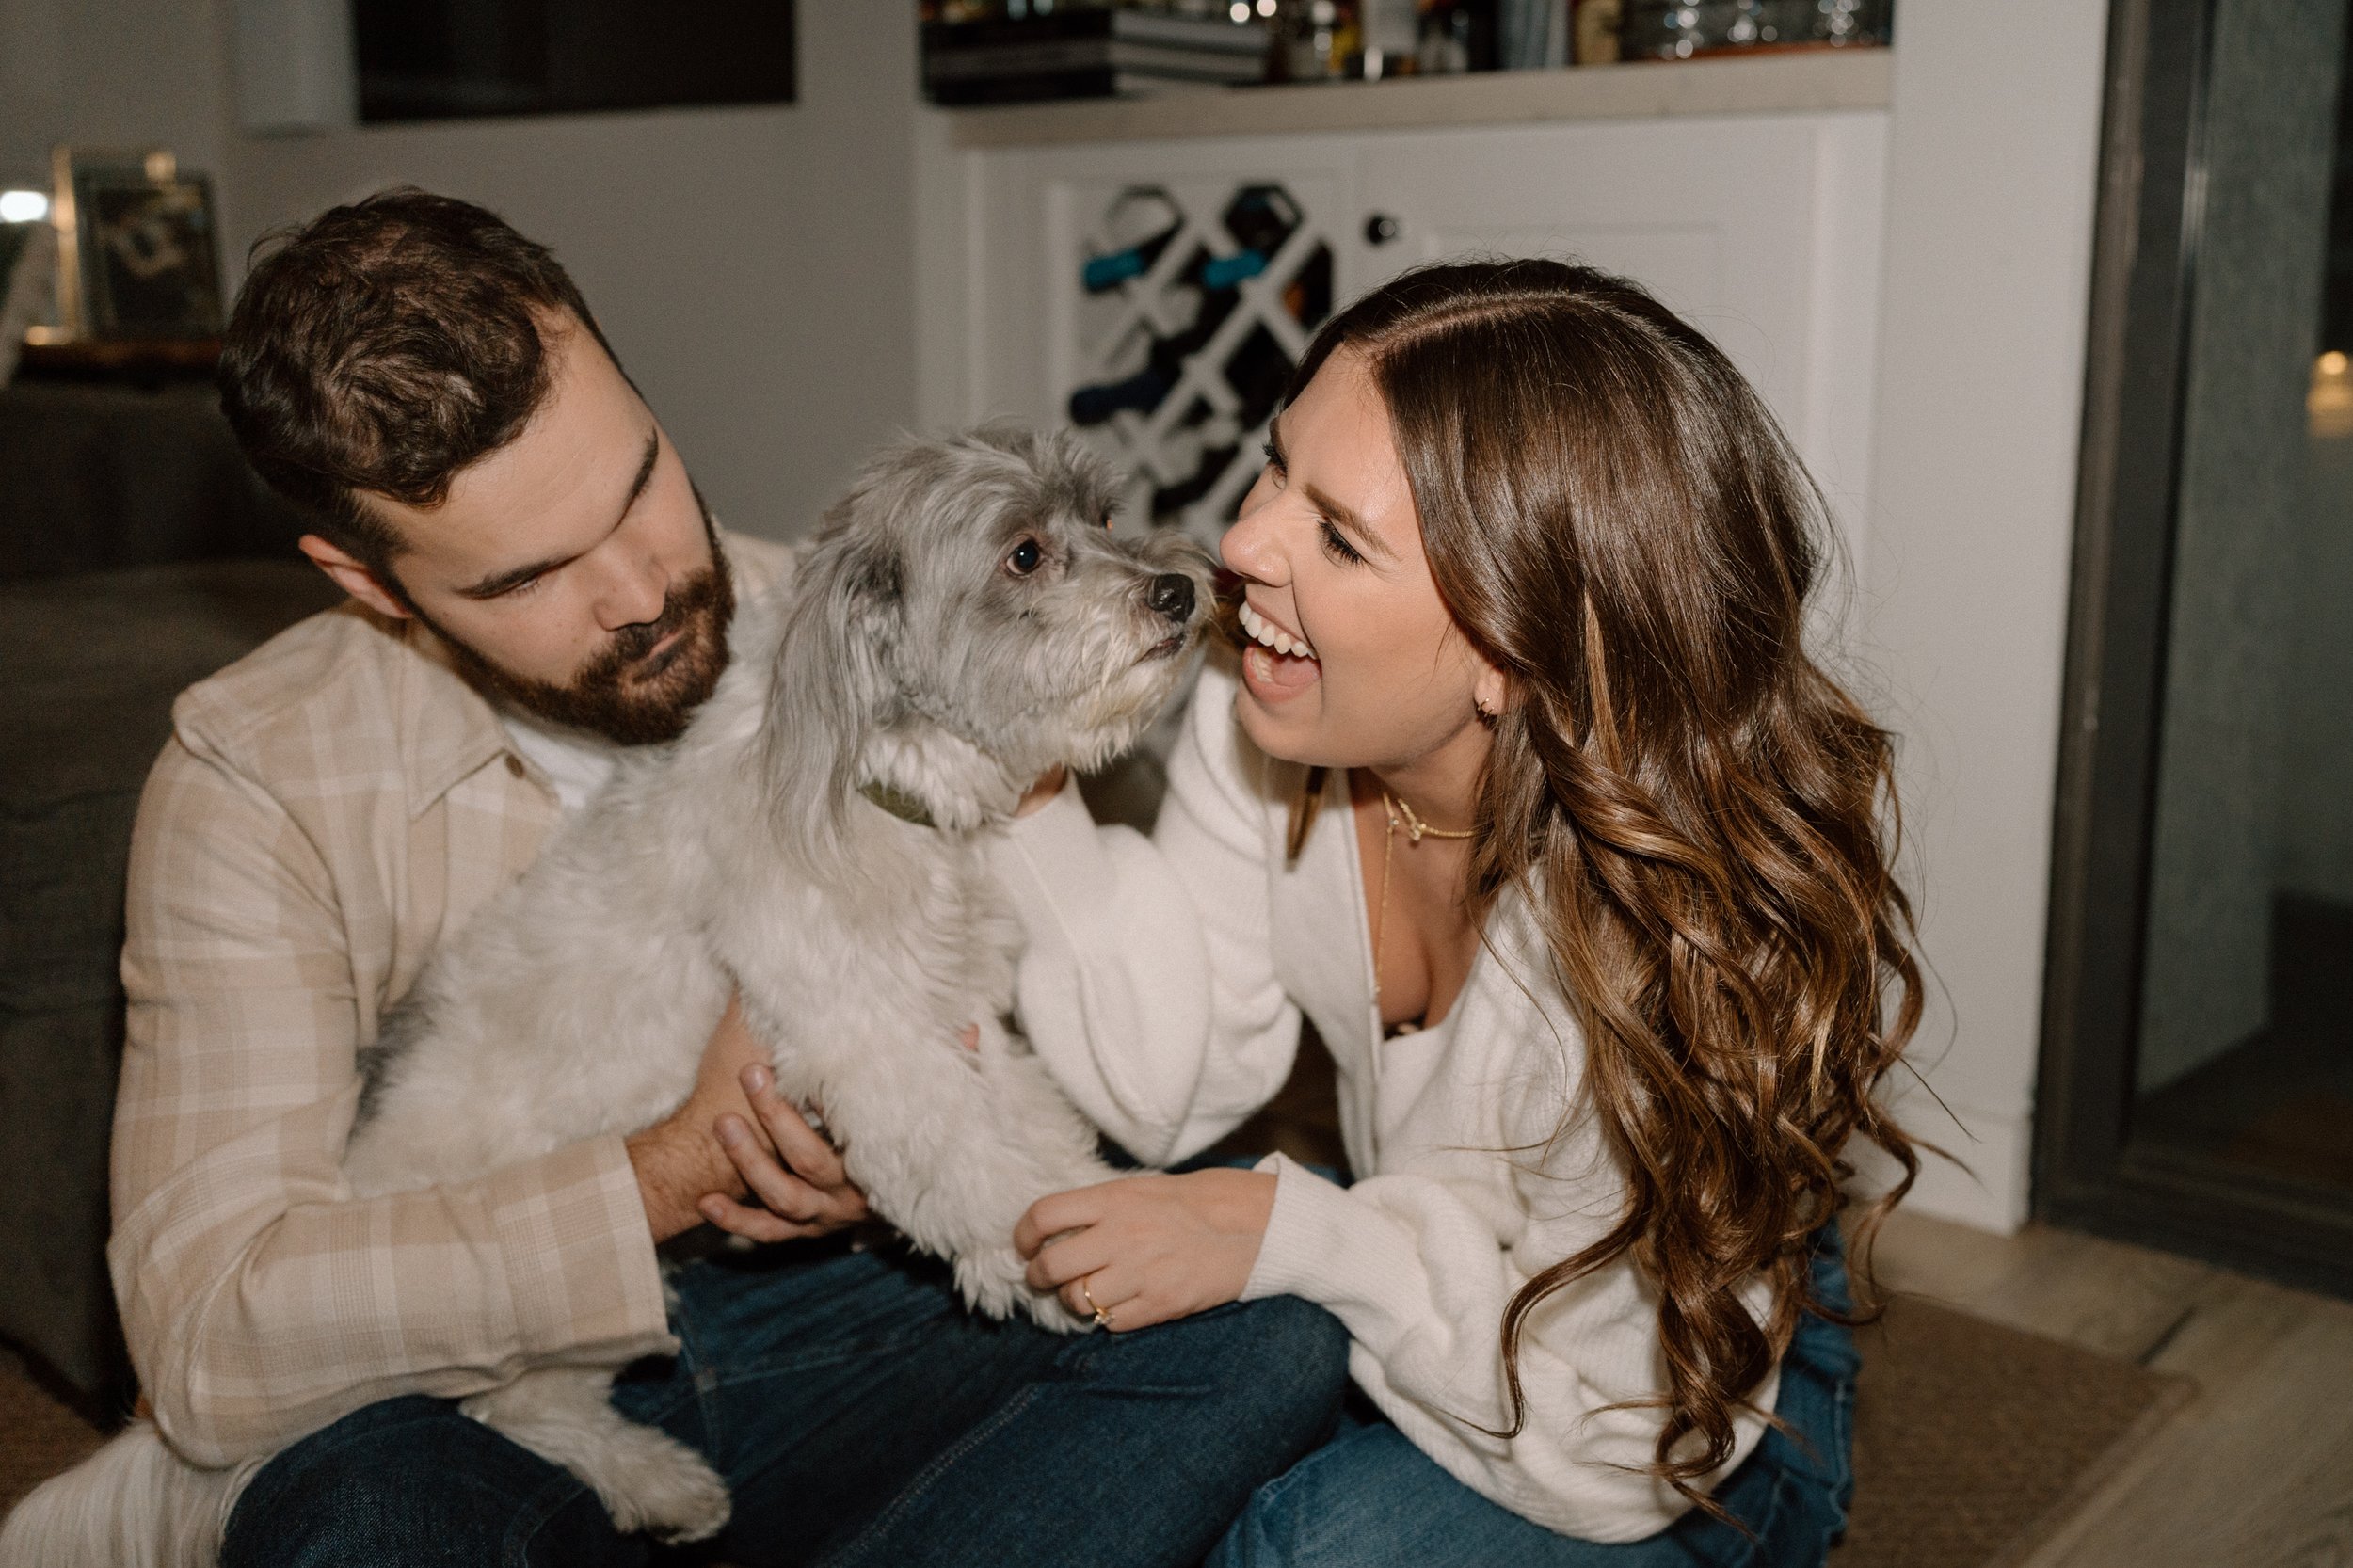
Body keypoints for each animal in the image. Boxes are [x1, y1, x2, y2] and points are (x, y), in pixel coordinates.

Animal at [13, 421, 1233, 1553]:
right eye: (1024, 553)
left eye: (1105, 516)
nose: (1183, 587)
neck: (870, 785)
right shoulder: (868, 1042)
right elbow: (975, 1170)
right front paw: (1031, 1262)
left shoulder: (962, 1018)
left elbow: (1037, 1129)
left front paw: (1097, 1208)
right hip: (511, 1324)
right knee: (507, 1408)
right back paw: (653, 1479)